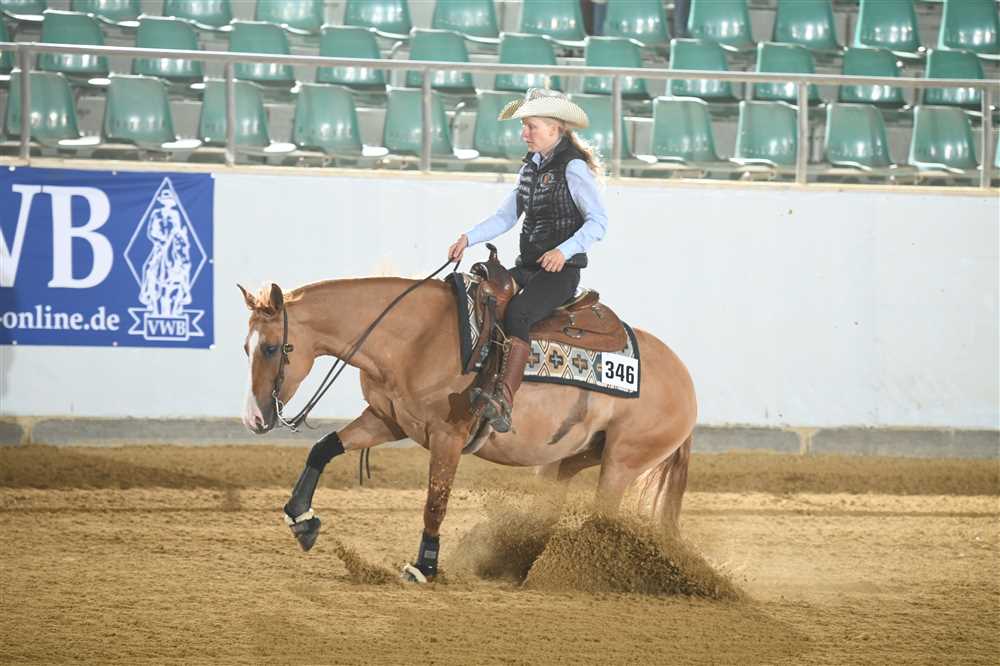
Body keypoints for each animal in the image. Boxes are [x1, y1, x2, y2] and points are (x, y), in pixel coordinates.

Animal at [239, 275, 697, 581]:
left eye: (271, 347)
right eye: (246, 347)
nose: (255, 419)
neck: (415, 338)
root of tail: (686, 382)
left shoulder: (448, 437)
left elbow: (435, 502)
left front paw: (424, 566)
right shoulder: (387, 420)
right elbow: (323, 447)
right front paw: (302, 519)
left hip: (621, 463)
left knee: (602, 520)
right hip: (567, 461)